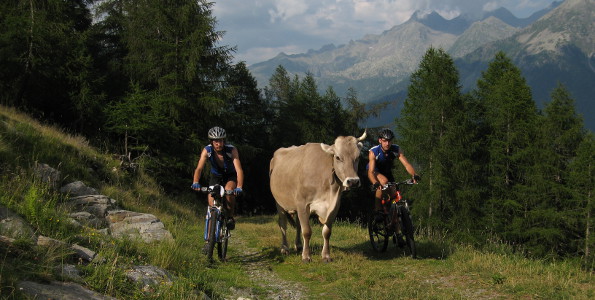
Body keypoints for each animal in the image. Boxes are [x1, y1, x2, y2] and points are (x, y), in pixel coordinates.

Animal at [272, 132, 368, 262]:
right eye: (338, 157)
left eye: (358, 157)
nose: (353, 181)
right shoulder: (302, 204)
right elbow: (307, 231)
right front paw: (306, 256)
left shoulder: (334, 206)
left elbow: (327, 232)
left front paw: (326, 256)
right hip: (279, 203)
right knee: (283, 223)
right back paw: (285, 248)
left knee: (298, 225)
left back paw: (298, 245)